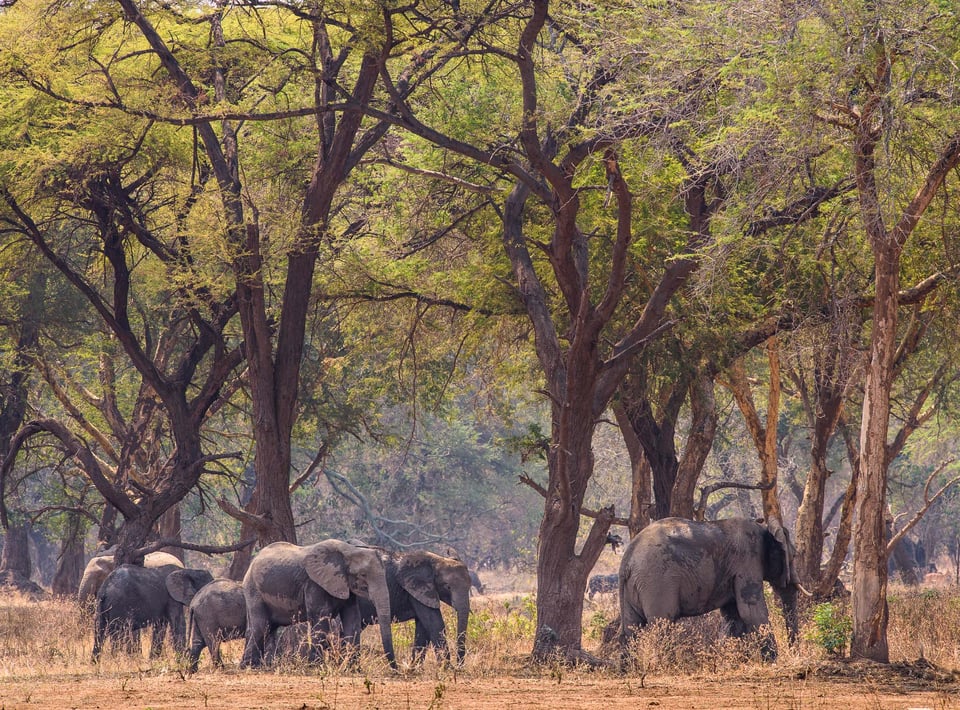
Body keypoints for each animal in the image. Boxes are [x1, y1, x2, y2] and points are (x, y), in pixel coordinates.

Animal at [242, 544, 396, 672]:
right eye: (363, 575)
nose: (396, 670)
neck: (349, 551)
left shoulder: (346, 586)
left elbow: (352, 620)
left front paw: (354, 670)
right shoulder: (314, 584)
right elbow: (321, 619)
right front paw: (315, 666)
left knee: (268, 627)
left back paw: (258, 665)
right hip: (254, 591)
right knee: (262, 626)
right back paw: (250, 666)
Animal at [616, 516, 804, 660]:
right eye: (794, 556)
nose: (794, 654)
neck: (764, 527)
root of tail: (627, 558)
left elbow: (734, 617)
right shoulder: (747, 563)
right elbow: (752, 613)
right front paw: (773, 662)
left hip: (634, 586)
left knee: (631, 628)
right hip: (657, 581)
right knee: (662, 624)